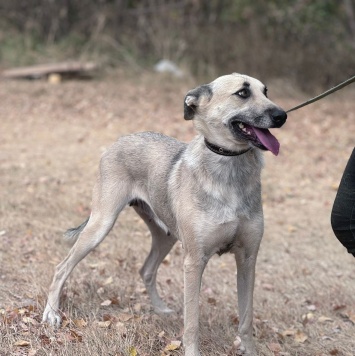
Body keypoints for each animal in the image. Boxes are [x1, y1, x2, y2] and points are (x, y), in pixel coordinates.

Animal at [42, 73, 286, 354]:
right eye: (243, 93)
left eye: (266, 92)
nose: (282, 115)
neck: (230, 169)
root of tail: (119, 140)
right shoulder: (194, 262)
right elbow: (192, 322)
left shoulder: (247, 259)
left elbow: (246, 319)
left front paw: (249, 349)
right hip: (101, 225)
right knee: (61, 267)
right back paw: (51, 313)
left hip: (165, 235)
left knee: (146, 269)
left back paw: (159, 309)